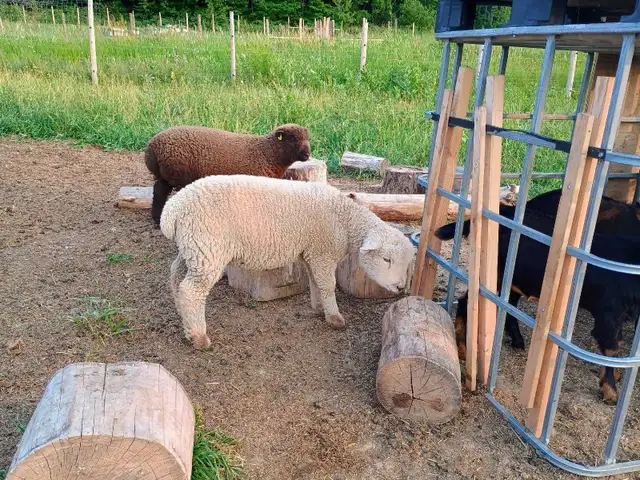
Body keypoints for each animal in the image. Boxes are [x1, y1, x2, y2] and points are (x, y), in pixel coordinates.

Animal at [145, 123, 311, 223]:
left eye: (307, 138)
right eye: (292, 138)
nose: (307, 154)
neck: (267, 153)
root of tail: (151, 148)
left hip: (166, 176)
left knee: (159, 190)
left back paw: (157, 218)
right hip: (178, 175)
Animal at [160, 174, 416, 350]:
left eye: (406, 264)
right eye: (386, 259)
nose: (400, 287)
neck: (345, 220)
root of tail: (172, 210)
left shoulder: (312, 253)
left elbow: (315, 282)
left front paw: (319, 307)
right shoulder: (323, 252)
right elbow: (328, 285)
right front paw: (334, 317)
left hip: (194, 249)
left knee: (176, 277)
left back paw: (185, 321)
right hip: (208, 249)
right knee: (191, 291)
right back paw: (199, 337)